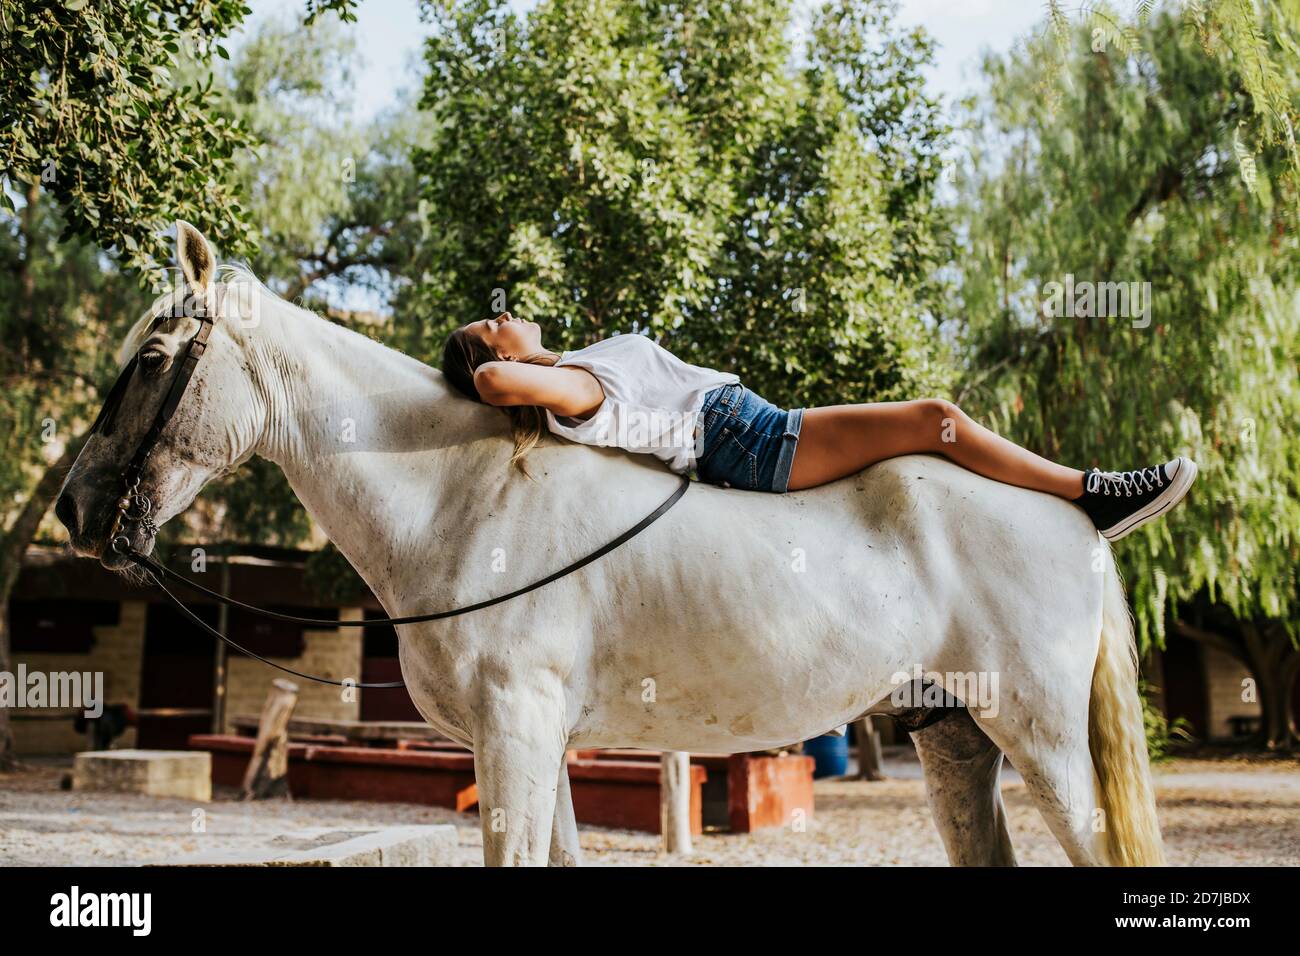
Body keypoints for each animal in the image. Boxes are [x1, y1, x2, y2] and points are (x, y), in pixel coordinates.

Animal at [55, 223, 1164, 868]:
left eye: (152, 358)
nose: (75, 509)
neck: (461, 499)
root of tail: (1076, 523)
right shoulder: (533, 742)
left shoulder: (516, 732)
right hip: (956, 733)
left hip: (1043, 738)